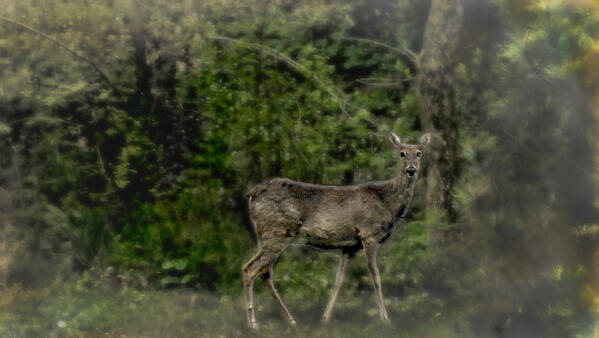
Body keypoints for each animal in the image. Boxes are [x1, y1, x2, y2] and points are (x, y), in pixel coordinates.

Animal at [243, 132, 432, 328]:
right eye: (402, 153)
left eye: (419, 153)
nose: (411, 170)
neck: (387, 202)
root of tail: (252, 194)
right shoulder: (369, 234)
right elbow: (375, 276)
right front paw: (385, 318)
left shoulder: (349, 246)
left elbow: (339, 280)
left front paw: (326, 317)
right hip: (276, 231)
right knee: (250, 268)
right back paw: (253, 323)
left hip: (274, 234)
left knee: (265, 272)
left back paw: (291, 319)